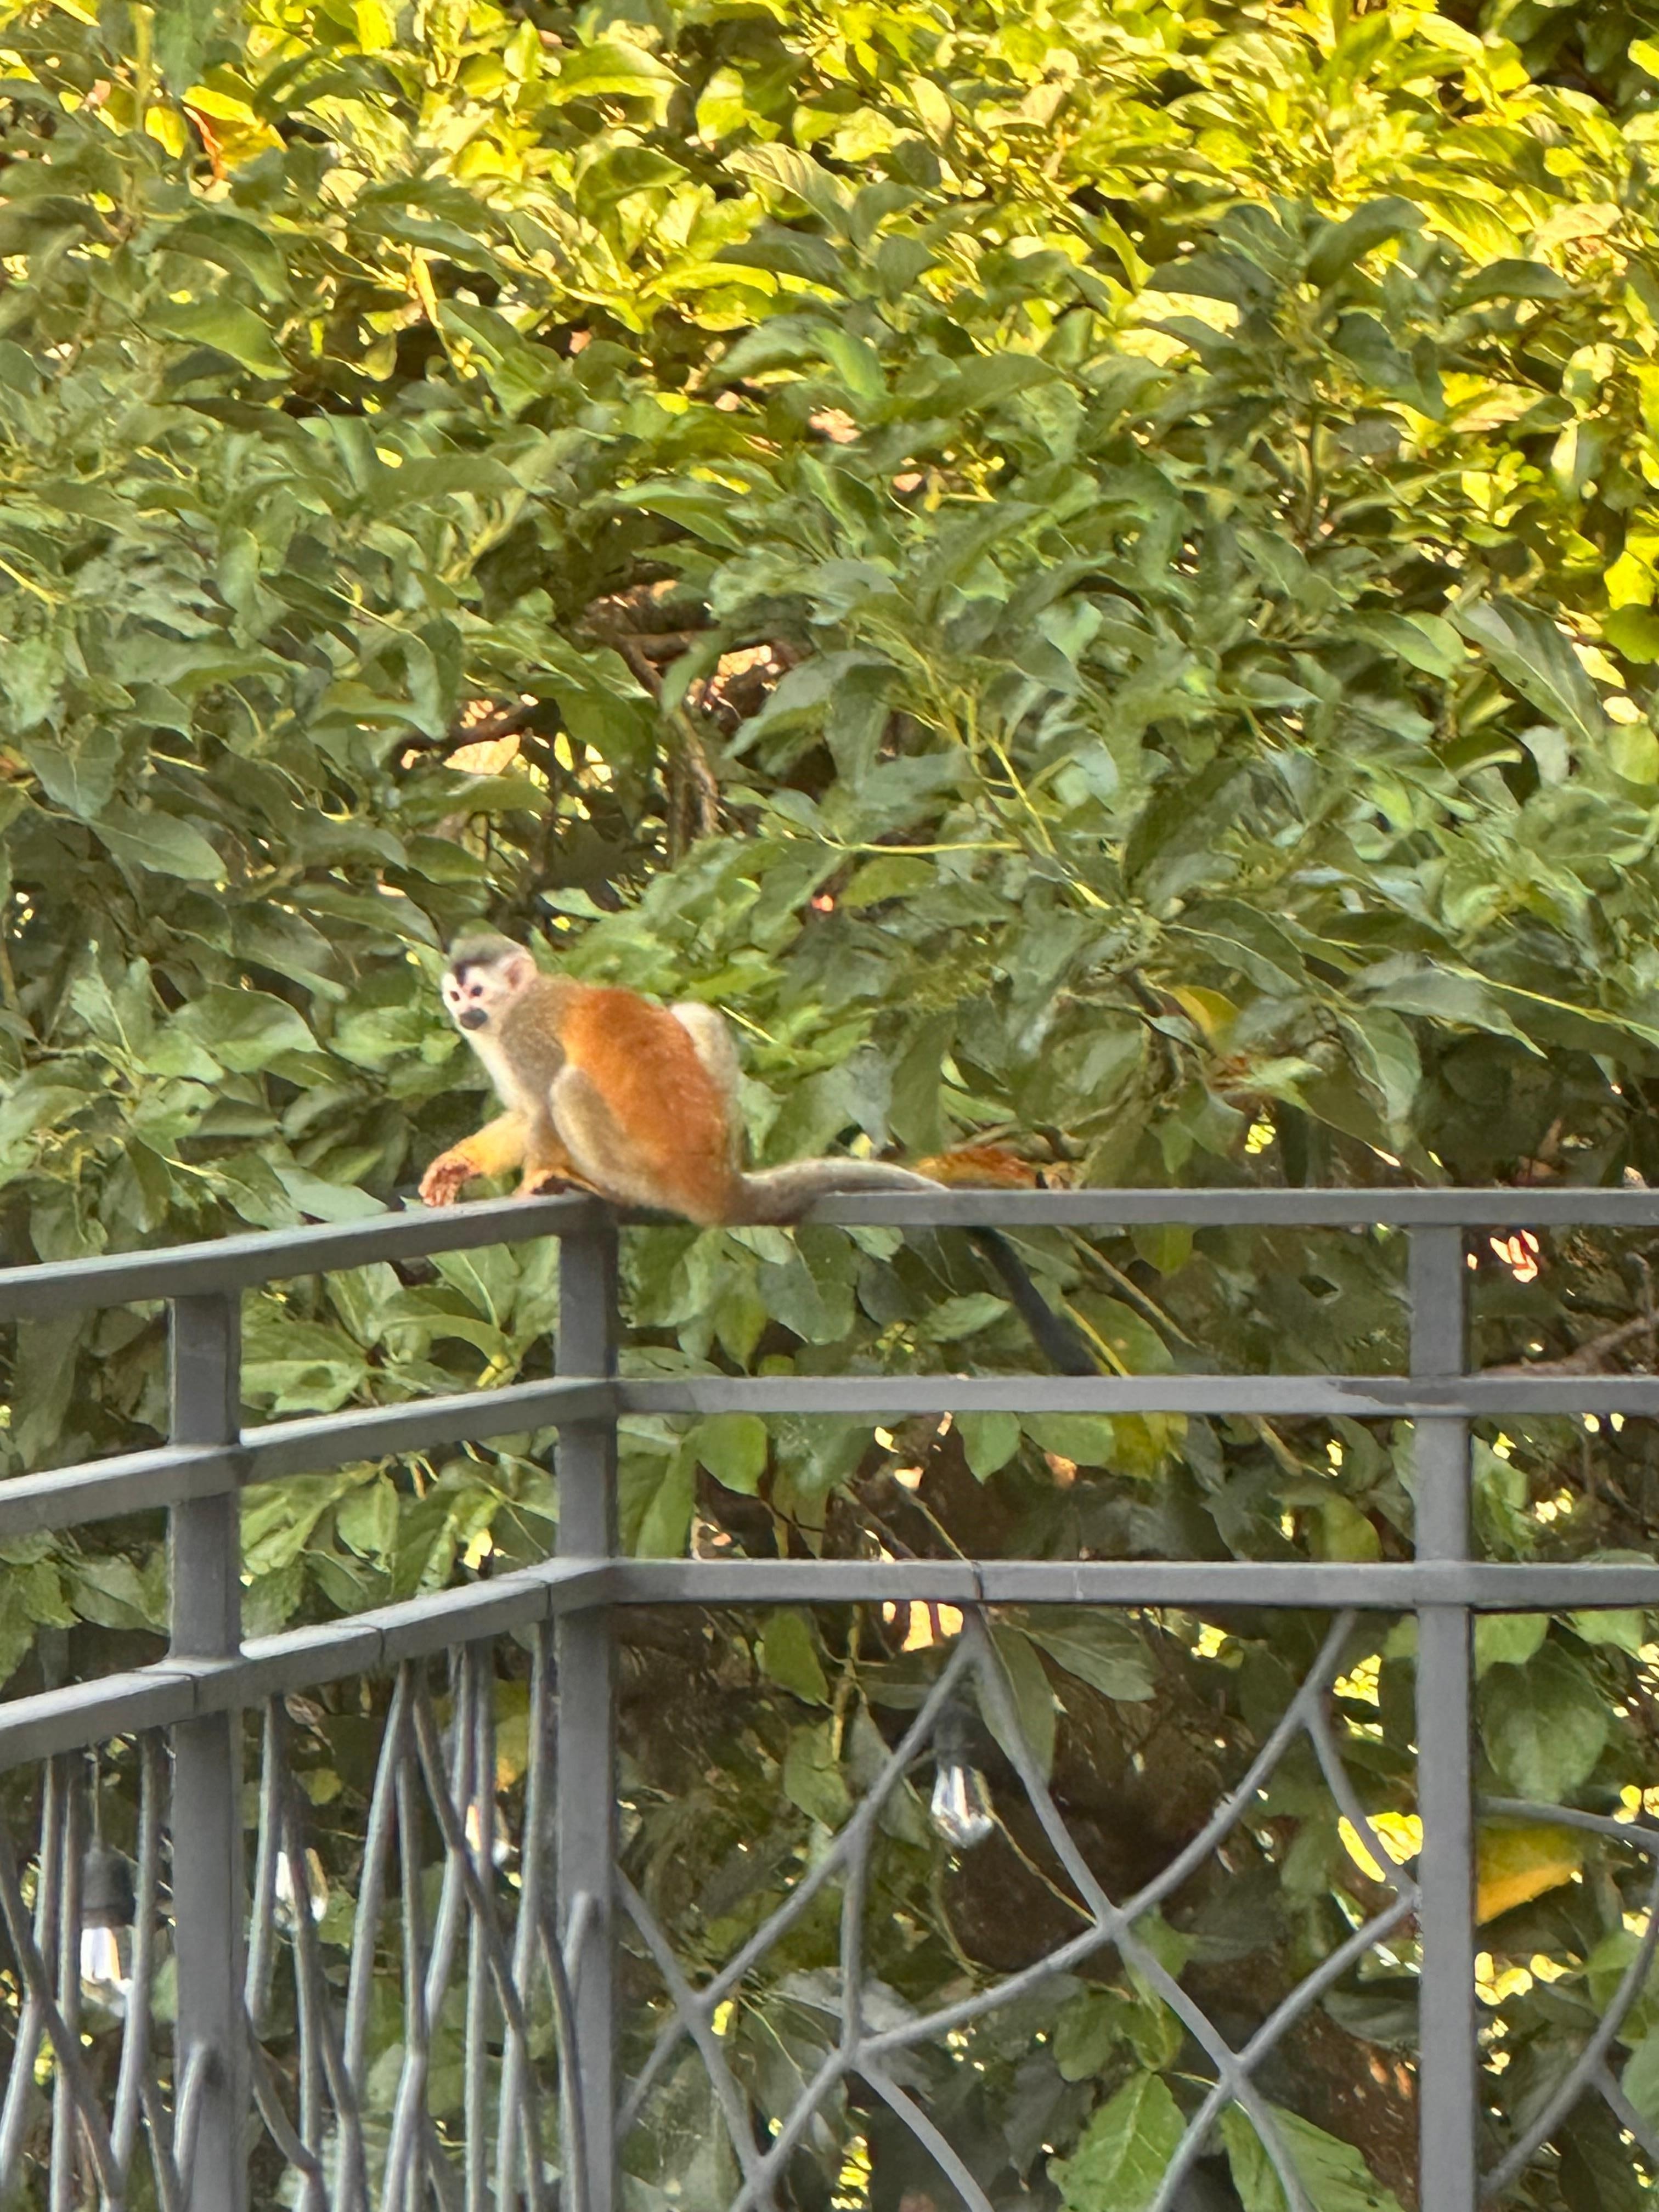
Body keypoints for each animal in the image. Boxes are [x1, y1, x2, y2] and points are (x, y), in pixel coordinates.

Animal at [418, 932, 1100, 1374]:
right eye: (455, 996)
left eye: (476, 991)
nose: (465, 1013)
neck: (516, 1005)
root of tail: (713, 1177)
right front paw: (458, 1163)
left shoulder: (520, 1033)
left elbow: (538, 1106)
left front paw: (538, 1175)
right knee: (692, 1013)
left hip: (640, 1162)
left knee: (568, 1086)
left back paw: (593, 1181)